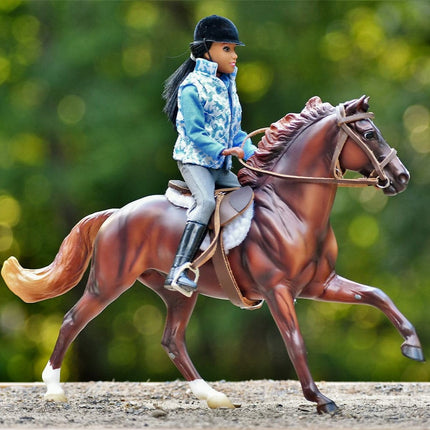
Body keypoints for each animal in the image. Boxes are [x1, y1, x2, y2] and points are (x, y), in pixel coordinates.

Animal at [0, 96, 424, 414]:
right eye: (369, 133)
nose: (402, 178)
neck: (292, 210)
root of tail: (117, 213)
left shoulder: (320, 285)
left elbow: (376, 295)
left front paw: (412, 346)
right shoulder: (278, 291)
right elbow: (295, 341)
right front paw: (320, 399)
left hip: (176, 294)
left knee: (172, 341)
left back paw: (215, 397)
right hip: (109, 283)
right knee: (73, 319)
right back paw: (54, 389)